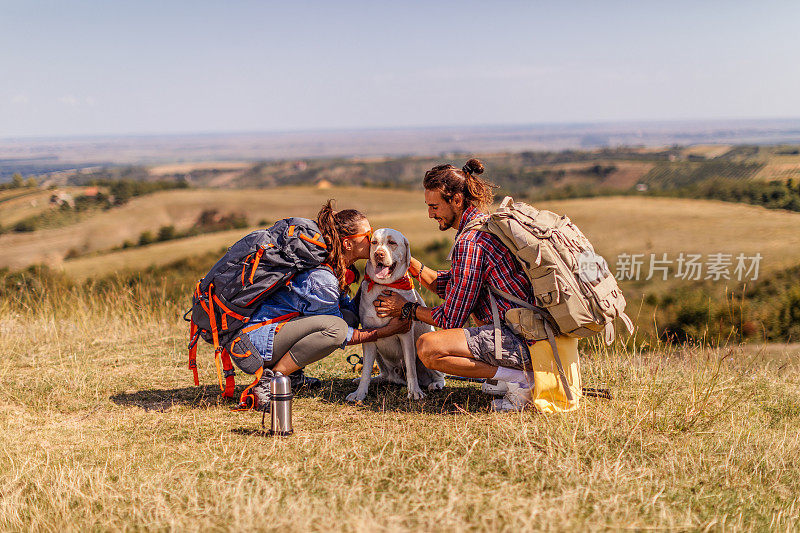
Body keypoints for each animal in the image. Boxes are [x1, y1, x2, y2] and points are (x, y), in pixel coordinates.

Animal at [344, 227, 444, 402]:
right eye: (374, 242)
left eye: (392, 243)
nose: (378, 254)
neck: (385, 286)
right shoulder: (369, 335)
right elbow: (366, 370)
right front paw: (360, 392)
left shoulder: (406, 334)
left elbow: (411, 367)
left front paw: (415, 391)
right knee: (385, 375)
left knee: (439, 376)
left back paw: (435, 384)